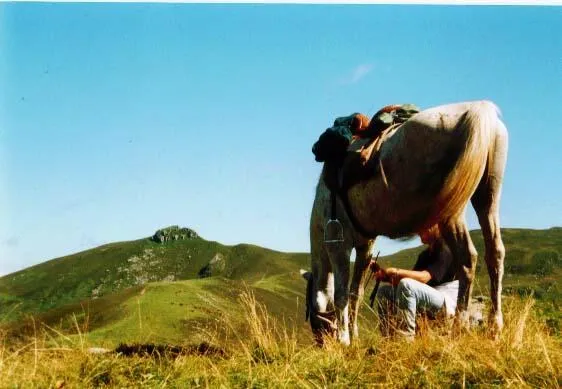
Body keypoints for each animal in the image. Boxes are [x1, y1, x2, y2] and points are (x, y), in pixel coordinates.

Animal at [302, 100, 508, 342]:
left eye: (313, 319)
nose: (321, 343)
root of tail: (477, 110)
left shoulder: (338, 245)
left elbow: (341, 295)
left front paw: (344, 340)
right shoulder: (365, 248)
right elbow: (356, 293)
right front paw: (354, 337)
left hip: (452, 211)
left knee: (467, 258)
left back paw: (459, 327)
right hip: (488, 197)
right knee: (495, 253)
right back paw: (495, 327)